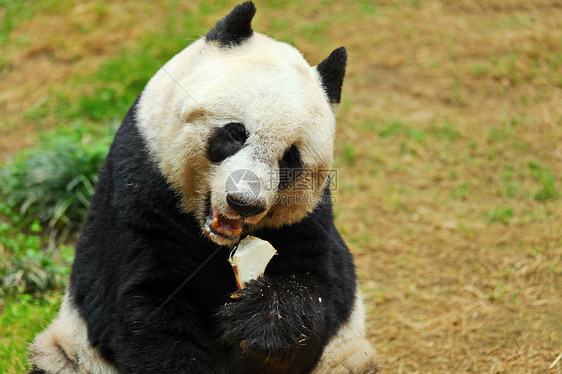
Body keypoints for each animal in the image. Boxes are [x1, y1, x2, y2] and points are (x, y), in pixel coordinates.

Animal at [27, 2, 376, 374]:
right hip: (71, 351)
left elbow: (318, 289)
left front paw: (261, 320)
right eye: (235, 133)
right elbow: (147, 307)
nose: (244, 202)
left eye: (290, 158)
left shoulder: (308, 220)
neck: (215, 240)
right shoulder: (140, 186)